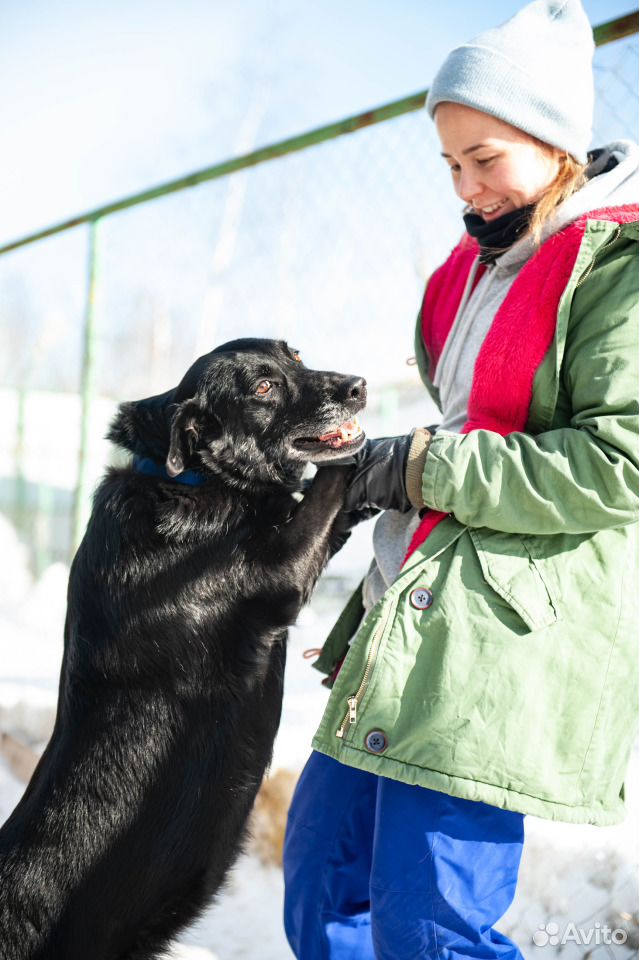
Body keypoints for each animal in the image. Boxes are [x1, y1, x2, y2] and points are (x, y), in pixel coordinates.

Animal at [0, 342, 364, 956]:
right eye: (263, 388)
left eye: (294, 355)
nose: (358, 386)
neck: (191, 480)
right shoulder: (280, 573)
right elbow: (322, 492)